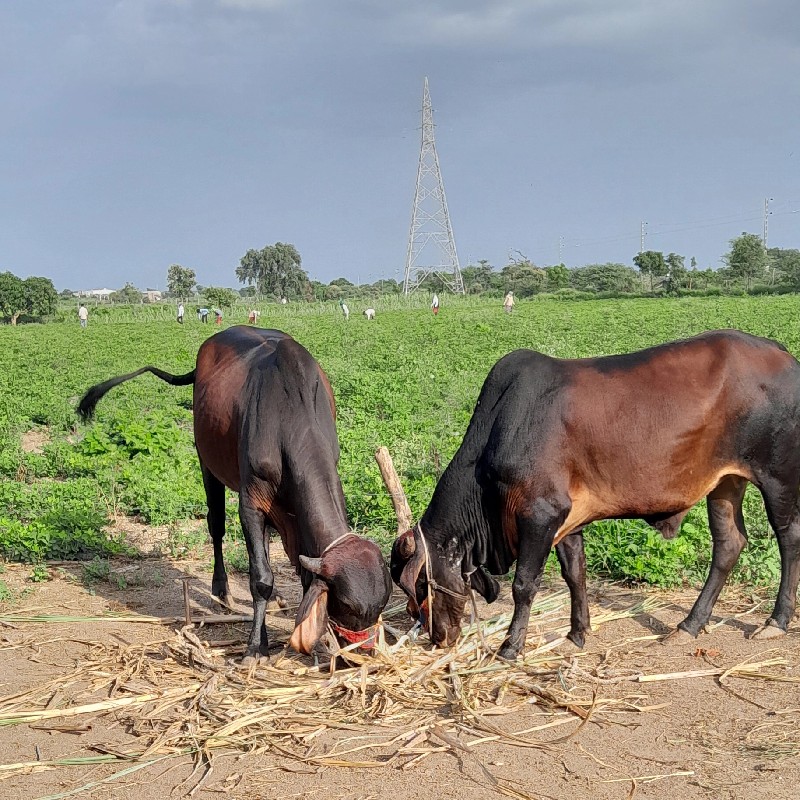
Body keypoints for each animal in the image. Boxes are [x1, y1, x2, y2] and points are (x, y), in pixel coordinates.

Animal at [79, 324, 392, 664]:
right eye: (347, 606)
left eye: (381, 606)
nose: (361, 654)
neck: (290, 418)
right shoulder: (250, 502)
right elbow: (260, 578)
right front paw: (256, 646)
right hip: (206, 461)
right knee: (216, 525)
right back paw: (221, 589)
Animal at [390, 328, 800, 660]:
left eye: (421, 584)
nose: (438, 637)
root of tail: (782, 353)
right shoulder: (567, 519)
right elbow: (575, 573)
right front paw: (578, 631)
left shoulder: (541, 512)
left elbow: (525, 584)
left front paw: (511, 646)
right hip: (725, 482)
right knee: (729, 544)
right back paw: (689, 625)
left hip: (777, 477)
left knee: (788, 539)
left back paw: (775, 622)